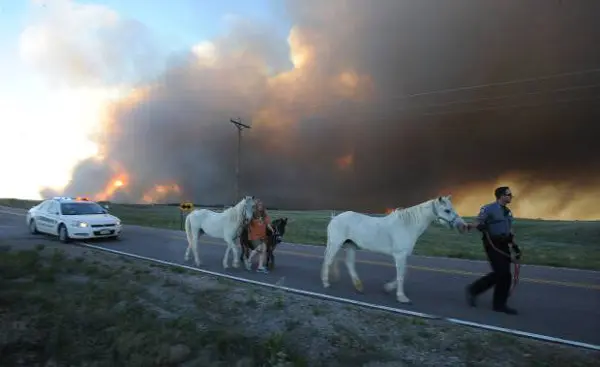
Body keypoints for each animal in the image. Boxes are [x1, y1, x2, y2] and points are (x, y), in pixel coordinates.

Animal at [322, 196, 466, 304]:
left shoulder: (403, 256)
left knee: (349, 263)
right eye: (447, 210)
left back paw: (358, 286)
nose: (462, 225)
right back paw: (326, 282)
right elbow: (401, 275)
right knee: (328, 260)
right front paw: (401, 297)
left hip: (350, 245)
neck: (407, 226)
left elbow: (404, 272)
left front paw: (387, 288)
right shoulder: (400, 255)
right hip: (336, 244)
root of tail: (334, 218)